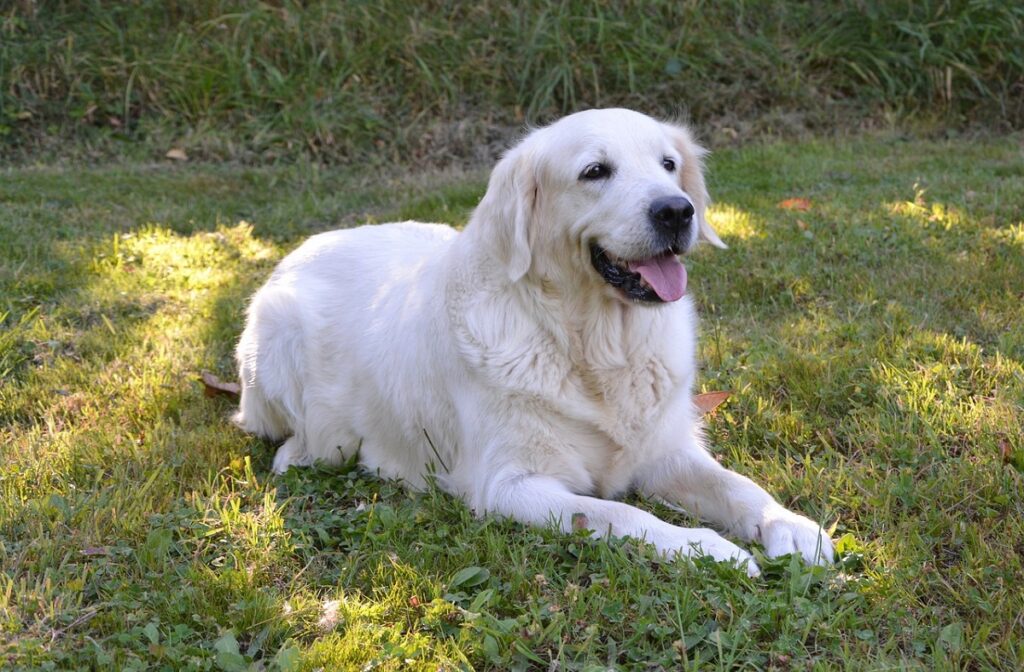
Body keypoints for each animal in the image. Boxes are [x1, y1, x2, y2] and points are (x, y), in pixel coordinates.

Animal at [235, 107, 835, 573]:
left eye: (668, 164)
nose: (676, 210)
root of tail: (299, 248)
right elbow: (620, 513)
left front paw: (791, 525)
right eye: (595, 171)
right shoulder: (511, 484)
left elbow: (737, 485)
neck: (594, 342)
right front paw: (709, 549)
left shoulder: (664, 450)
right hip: (281, 347)